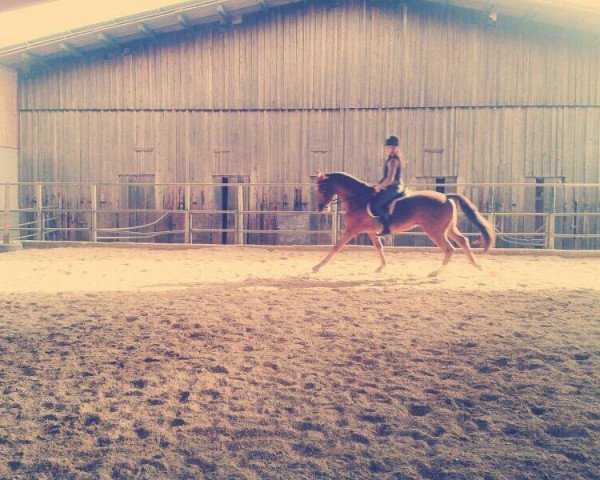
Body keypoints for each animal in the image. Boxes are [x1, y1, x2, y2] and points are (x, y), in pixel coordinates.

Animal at [312, 172, 494, 278]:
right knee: (463, 241)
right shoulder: (371, 231)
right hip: (447, 228)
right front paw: (381, 267)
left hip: (435, 231)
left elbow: (336, 247)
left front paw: (317, 267)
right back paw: (477, 266)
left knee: (450, 249)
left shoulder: (352, 230)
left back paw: (436, 272)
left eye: (322, 188)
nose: (321, 208)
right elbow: (379, 247)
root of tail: (446, 196)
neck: (359, 198)